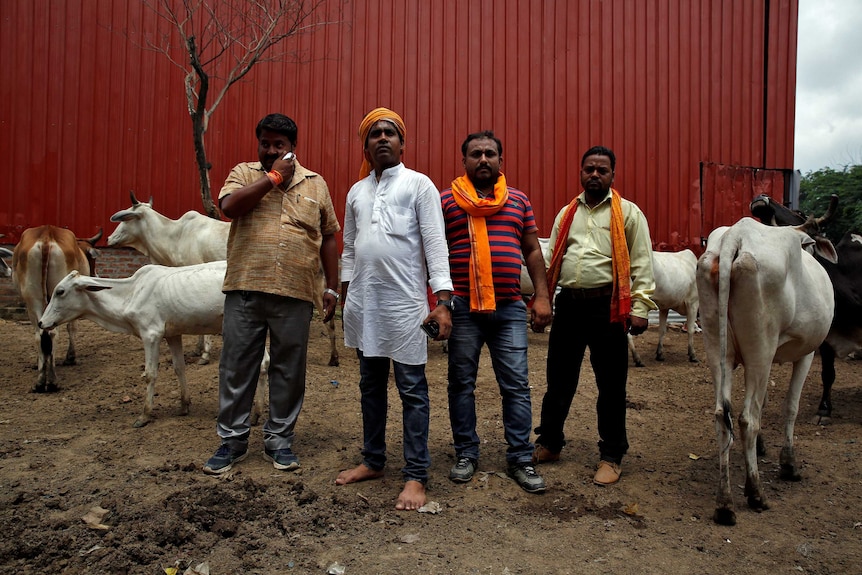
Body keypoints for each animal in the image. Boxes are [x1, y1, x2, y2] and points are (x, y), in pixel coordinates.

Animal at [38, 264, 236, 430]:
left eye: (60, 291)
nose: (41, 322)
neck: (131, 293)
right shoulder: (172, 335)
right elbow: (179, 368)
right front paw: (184, 406)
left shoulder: (151, 335)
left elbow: (150, 374)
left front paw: (144, 415)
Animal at [106, 191, 340, 366]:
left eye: (125, 219)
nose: (109, 238)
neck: (174, 236)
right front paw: (197, 349)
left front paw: (204, 354)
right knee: (329, 320)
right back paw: (333, 357)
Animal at [704, 217, 836, 528]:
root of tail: (735, 237)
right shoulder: (806, 353)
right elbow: (791, 407)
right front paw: (789, 464)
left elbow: (763, 404)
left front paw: (762, 447)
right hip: (760, 351)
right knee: (746, 419)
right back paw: (755, 493)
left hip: (719, 351)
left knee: (722, 416)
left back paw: (725, 503)